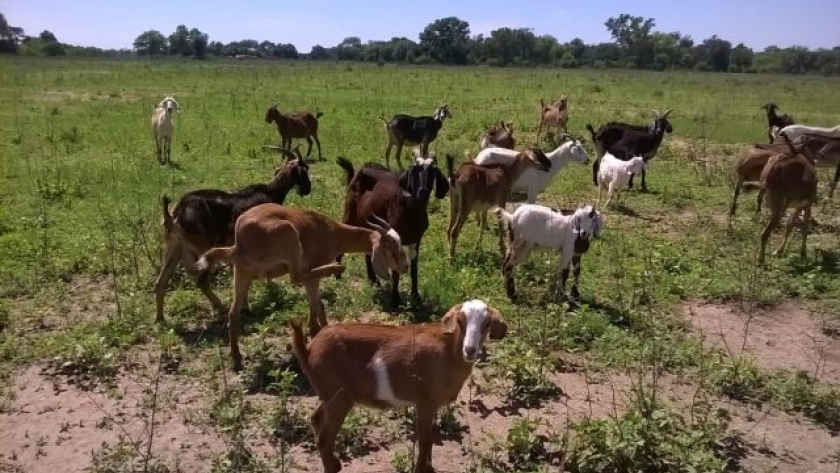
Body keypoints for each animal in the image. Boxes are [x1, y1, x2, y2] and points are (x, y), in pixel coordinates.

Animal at [153, 148, 308, 324]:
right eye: (305, 169)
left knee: (161, 282)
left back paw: (160, 318)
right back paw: (222, 309)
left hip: (174, 246)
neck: (271, 192)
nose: (307, 189)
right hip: (203, 247)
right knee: (201, 280)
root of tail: (175, 215)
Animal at [197, 203, 406, 368]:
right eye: (391, 249)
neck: (330, 231)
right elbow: (317, 303)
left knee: (234, 312)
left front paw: (316, 330)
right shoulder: (312, 273)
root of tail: (239, 244)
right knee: (295, 277)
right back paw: (335, 267)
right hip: (288, 235)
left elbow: (315, 304)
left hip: (242, 272)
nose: (405, 266)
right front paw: (323, 333)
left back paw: (237, 359)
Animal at [292, 298, 508, 472]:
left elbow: (431, 437)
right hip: (340, 398)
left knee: (316, 419)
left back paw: (334, 463)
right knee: (324, 438)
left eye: (487, 324)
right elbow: (425, 439)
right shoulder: (425, 402)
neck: (449, 353)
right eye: (460, 321)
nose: (470, 350)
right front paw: (421, 470)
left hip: (328, 394)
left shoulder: (433, 406)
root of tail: (309, 350)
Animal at [338, 155, 450, 306]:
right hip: (349, 214)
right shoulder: (394, 236)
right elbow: (396, 269)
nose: (422, 191)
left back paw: (374, 281)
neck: (411, 210)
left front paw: (415, 296)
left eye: (432, 171)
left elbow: (414, 268)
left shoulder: (417, 239)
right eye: (414, 170)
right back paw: (338, 275)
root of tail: (360, 170)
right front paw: (395, 299)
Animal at [744, 132, 816, 266]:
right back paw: (761, 261)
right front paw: (803, 253)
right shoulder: (805, 205)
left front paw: (778, 251)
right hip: (779, 209)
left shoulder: (797, 206)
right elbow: (803, 227)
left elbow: (789, 225)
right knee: (764, 234)